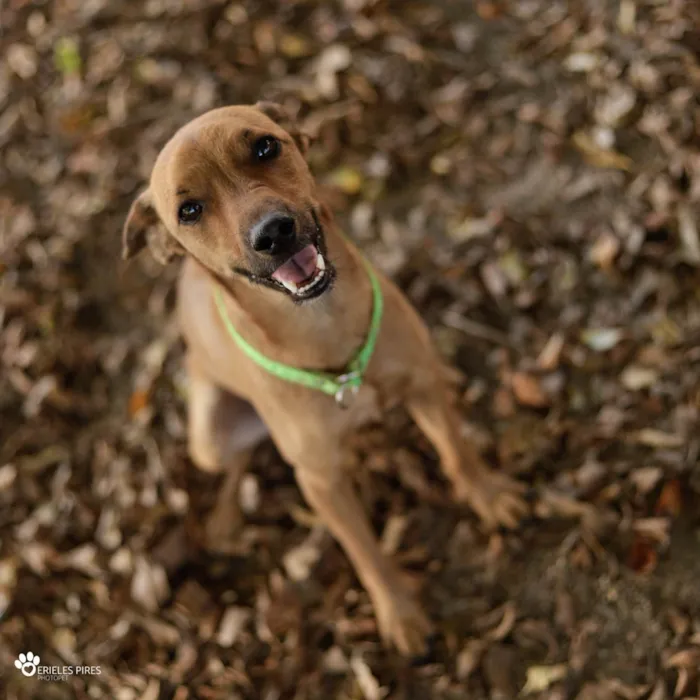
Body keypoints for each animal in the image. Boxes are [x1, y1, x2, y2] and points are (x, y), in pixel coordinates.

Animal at [121, 104, 524, 656]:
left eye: (265, 147)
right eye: (189, 210)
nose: (273, 233)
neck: (322, 325)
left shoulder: (420, 388)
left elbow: (456, 450)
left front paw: (486, 494)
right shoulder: (321, 482)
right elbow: (365, 551)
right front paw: (398, 612)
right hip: (207, 438)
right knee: (237, 459)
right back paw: (226, 519)